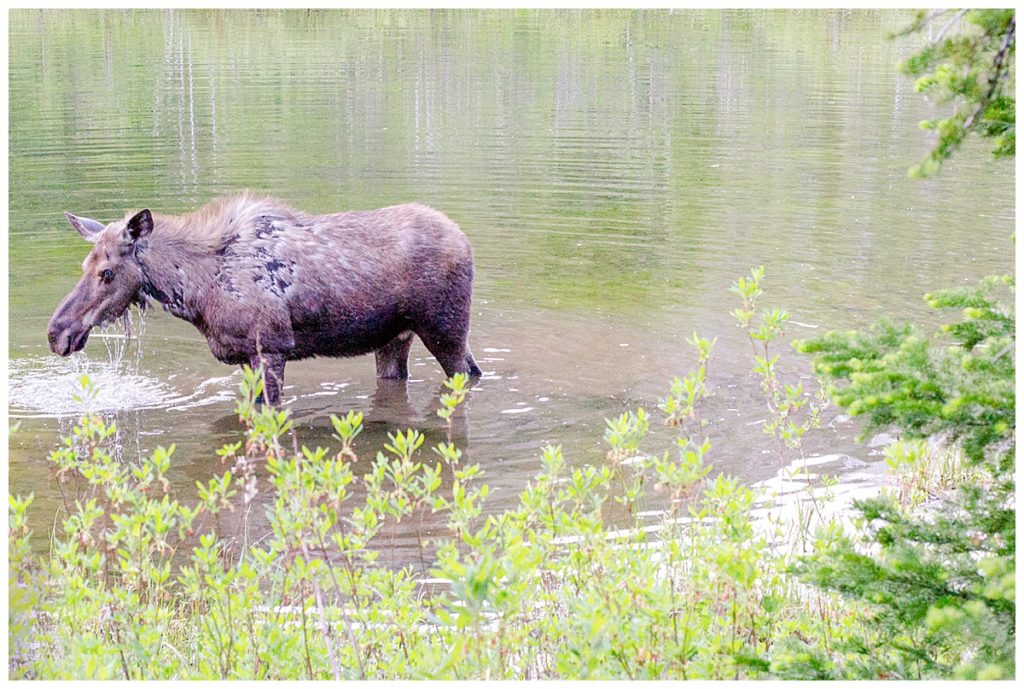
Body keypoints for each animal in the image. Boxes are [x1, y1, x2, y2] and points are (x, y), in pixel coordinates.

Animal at [50, 190, 487, 405]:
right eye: (84, 265)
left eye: (106, 272)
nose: (57, 333)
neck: (194, 292)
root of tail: (466, 241)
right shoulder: (246, 356)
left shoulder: (272, 348)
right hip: (395, 339)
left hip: (445, 329)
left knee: (469, 373)